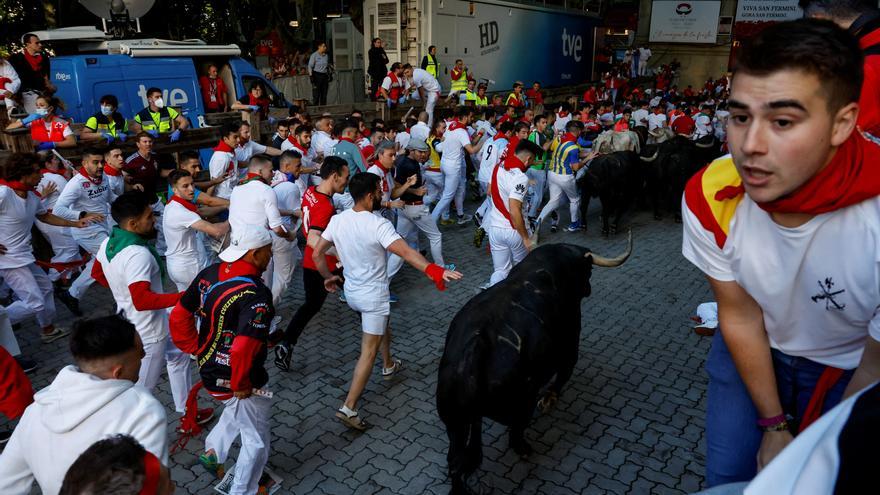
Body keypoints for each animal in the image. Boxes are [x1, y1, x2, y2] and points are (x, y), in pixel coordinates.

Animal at [434, 237, 628, 495]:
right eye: (588, 270)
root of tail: (474, 350)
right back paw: (524, 448)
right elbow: (563, 373)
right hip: (520, 399)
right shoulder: (570, 341)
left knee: (455, 461)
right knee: (516, 429)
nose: (588, 289)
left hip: (456, 422)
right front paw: (549, 398)